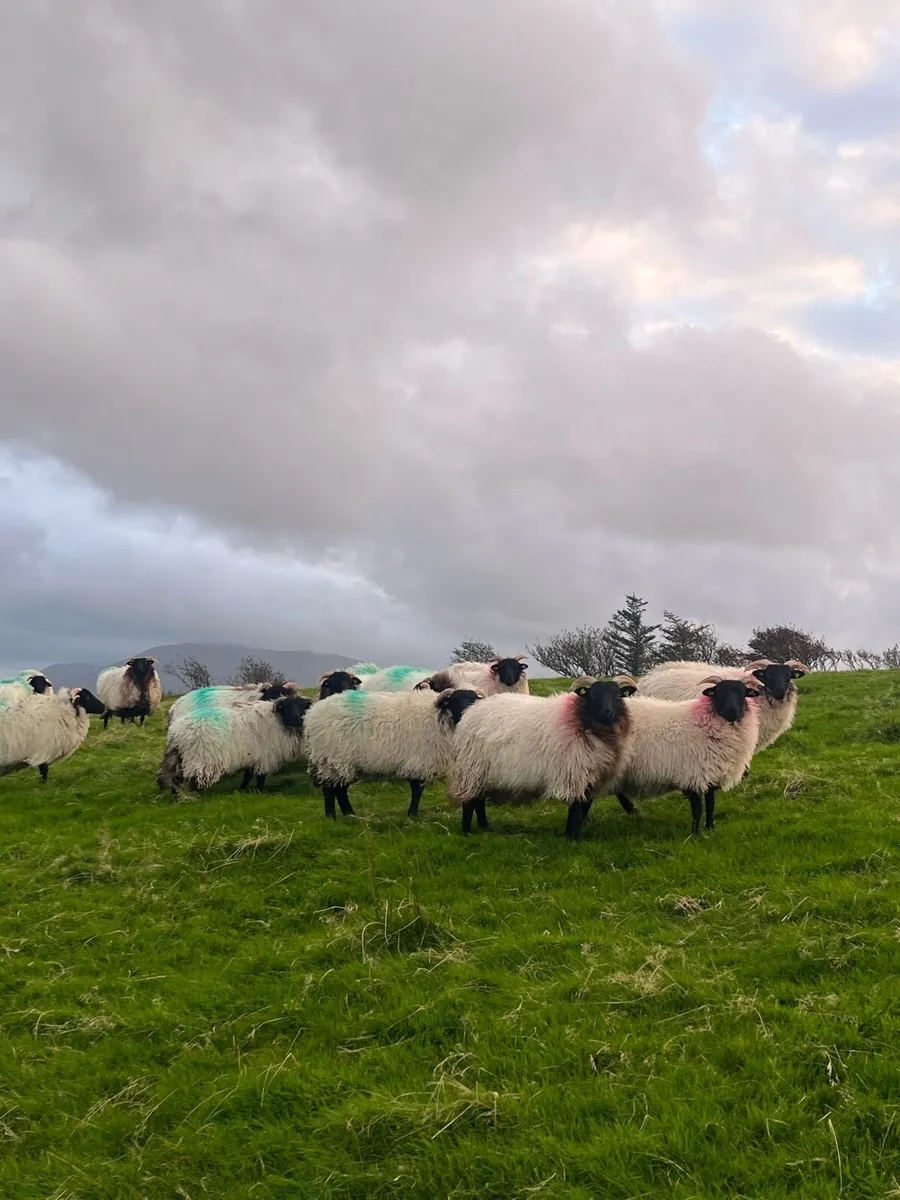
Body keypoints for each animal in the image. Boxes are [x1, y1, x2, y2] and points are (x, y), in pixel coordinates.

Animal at [156, 693, 312, 794]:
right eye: (286, 706)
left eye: (301, 706)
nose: (296, 718)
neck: (279, 720)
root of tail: (175, 732)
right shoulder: (264, 756)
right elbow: (260, 778)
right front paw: (259, 791)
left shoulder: (252, 756)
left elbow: (247, 776)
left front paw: (241, 790)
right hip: (199, 759)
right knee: (192, 780)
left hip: (180, 757)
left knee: (175, 778)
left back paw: (178, 796)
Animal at [303, 686, 483, 819]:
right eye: (455, 701)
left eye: (473, 701)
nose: (467, 715)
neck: (439, 717)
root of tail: (311, 715)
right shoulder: (419, 760)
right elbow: (417, 790)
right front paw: (413, 815)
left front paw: (412, 814)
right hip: (332, 758)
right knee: (329, 790)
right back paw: (331, 817)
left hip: (344, 762)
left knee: (340, 789)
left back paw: (349, 814)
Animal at [448, 677, 636, 840]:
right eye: (594, 695)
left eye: (618, 695)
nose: (608, 713)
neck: (580, 719)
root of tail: (470, 713)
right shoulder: (574, 774)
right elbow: (576, 810)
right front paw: (575, 838)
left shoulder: (591, 778)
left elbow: (582, 809)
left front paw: (568, 834)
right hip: (472, 769)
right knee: (469, 802)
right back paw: (467, 832)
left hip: (482, 773)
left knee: (478, 801)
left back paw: (484, 827)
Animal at [586, 675, 760, 835]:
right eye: (719, 693)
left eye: (743, 693)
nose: (732, 710)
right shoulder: (693, 775)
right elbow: (698, 809)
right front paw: (696, 834)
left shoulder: (711, 774)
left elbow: (711, 805)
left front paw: (710, 829)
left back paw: (633, 812)